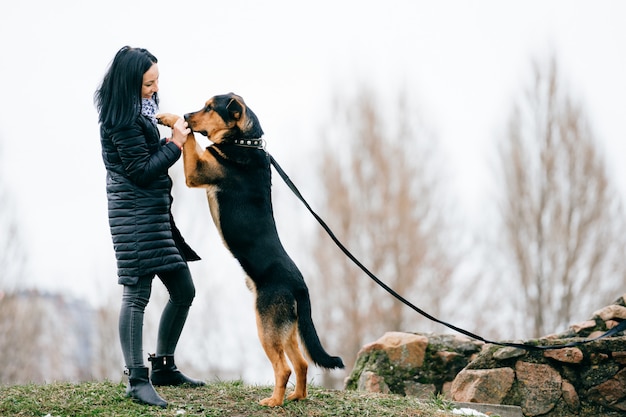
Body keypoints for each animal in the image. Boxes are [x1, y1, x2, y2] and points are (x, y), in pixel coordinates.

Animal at [156, 92, 342, 404]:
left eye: (209, 107)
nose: (186, 114)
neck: (244, 141)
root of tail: (300, 286)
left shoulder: (197, 171)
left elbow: (191, 140)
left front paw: (172, 120)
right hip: (286, 329)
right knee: (302, 363)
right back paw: (296, 397)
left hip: (266, 326)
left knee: (284, 368)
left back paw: (274, 402)